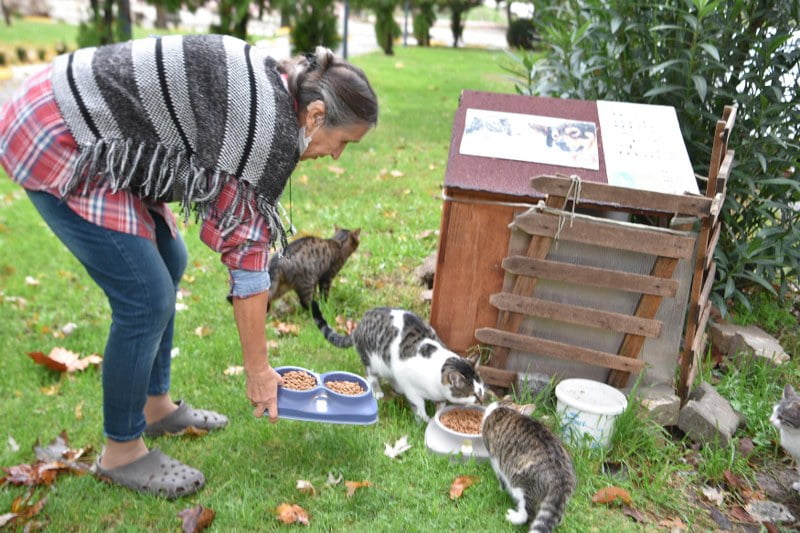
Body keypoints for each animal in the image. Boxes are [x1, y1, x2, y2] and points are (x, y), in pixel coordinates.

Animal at [312, 302, 488, 422]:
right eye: (473, 394)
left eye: (481, 391)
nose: (482, 401)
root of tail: (358, 325)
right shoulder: (409, 385)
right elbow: (418, 404)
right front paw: (423, 419)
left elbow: (441, 405)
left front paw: (437, 414)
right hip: (372, 360)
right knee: (371, 374)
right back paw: (378, 391)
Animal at [482, 400, 576, 532]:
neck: (506, 407)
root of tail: (561, 478)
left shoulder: (495, 459)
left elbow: (500, 478)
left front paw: (500, 488)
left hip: (522, 485)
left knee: (528, 513)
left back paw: (514, 517)